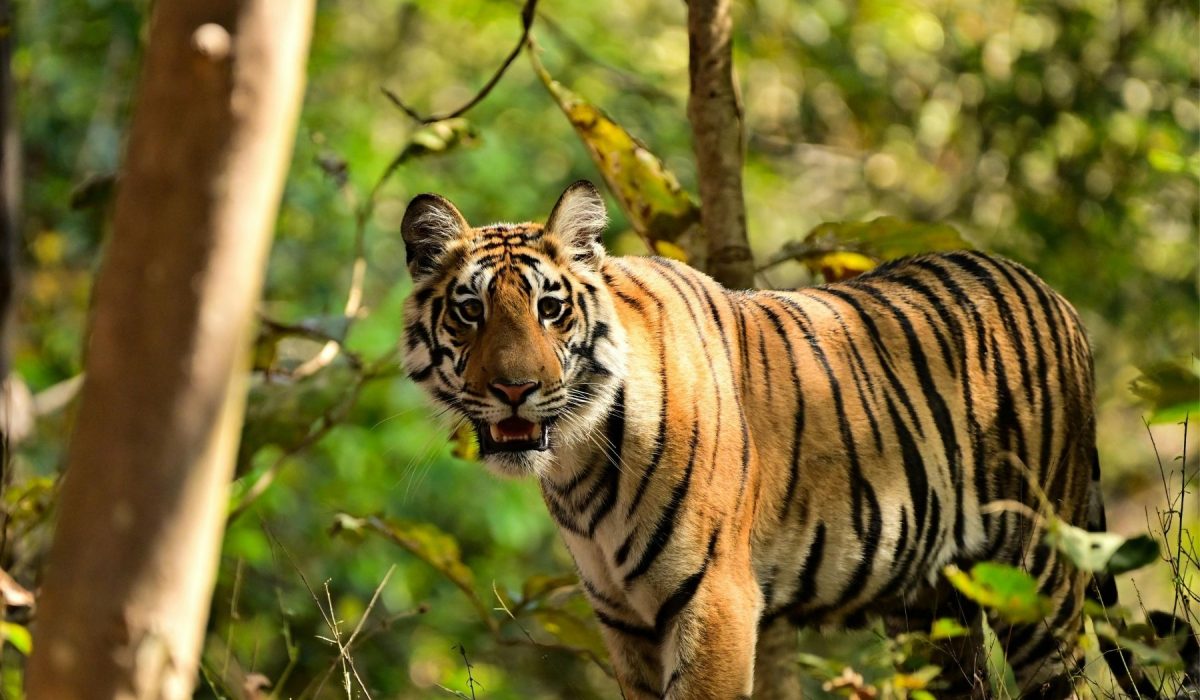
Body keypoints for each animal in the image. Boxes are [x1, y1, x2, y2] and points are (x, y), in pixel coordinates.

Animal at [399, 180, 1166, 699]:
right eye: (469, 312)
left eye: (550, 309)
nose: (515, 388)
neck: (580, 461)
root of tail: (1054, 295)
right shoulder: (623, 619)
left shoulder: (715, 599)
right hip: (930, 608)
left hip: (1038, 576)